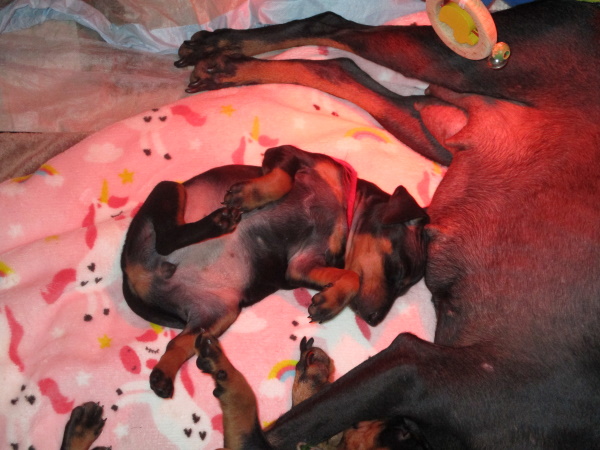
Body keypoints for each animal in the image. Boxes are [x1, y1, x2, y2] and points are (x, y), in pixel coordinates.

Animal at [121, 145, 428, 399]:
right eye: (398, 272)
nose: (375, 320)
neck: (345, 207)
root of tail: (134, 275)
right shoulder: (286, 153)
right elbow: (282, 179)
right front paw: (247, 195)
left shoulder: (303, 263)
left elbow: (351, 276)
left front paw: (328, 303)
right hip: (170, 188)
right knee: (167, 237)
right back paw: (220, 220)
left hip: (220, 313)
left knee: (178, 344)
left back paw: (163, 376)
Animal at [171, 0, 600, 448]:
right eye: (397, 274)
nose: (375, 322)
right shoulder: (416, 368)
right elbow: (268, 436)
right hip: (468, 62)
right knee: (335, 27)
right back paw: (219, 51)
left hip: (434, 127)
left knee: (338, 68)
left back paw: (223, 67)